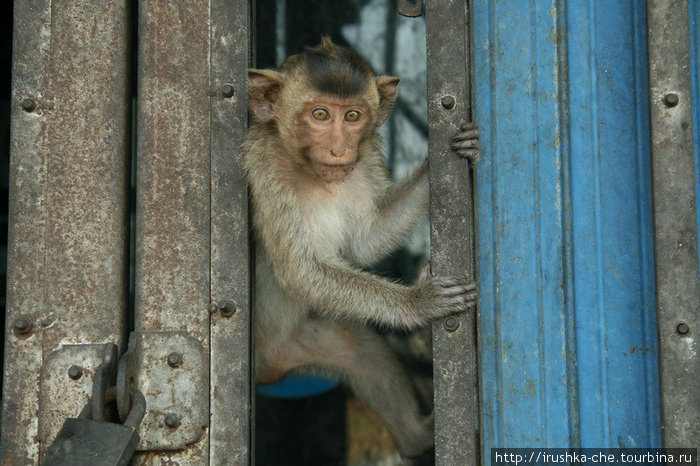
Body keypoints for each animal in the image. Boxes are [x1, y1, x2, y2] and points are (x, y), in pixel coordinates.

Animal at [243, 37, 478, 458]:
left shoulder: (365, 156)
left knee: (361, 354)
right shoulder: (265, 168)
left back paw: (418, 436)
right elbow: (300, 270)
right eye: (320, 114)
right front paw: (418, 302)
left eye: (352, 116)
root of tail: (268, 372)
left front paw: (445, 159)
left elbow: (365, 240)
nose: (339, 148)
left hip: (298, 346)